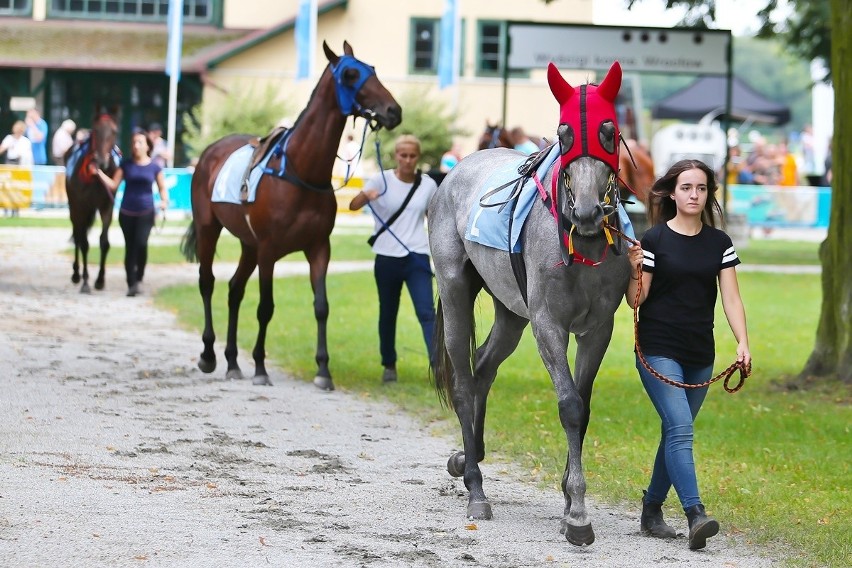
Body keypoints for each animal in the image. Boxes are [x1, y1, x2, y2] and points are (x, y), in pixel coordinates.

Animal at [65, 113, 119, 296]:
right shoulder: (81, 207)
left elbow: (104, 242)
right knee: (78, 234)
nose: (102, 162)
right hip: (74, 208)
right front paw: (86, 282)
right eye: (96, 130)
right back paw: (76, 274)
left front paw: (100, 280)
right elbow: (84, 243)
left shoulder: (106, 206)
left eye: (114, 131)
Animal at [181, 41, 402, 390]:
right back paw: (209, 355)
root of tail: (209, 153)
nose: (393, 111)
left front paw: (323, 370)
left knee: (234, 290)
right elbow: (265, 308)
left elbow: (322, 307)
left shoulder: (318, 248)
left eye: (373, 69)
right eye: (351, 75)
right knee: (207, 282)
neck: (301, 171)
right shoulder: (269, 250)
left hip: (248, 245)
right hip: (209, 228)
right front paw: (260, 366)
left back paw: (232, 361)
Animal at [430, 61, 628, 544]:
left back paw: (469, 457)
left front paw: (569, 497)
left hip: (510, 311)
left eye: (609, 132)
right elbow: (569, 405)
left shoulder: (599, 328)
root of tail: (455, 172)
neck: (582, 243)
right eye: (564, 134)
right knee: (464, 382)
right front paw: (577, 513)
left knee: (483, 367)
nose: (589, 212)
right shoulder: (547, 323)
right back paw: (475, 489)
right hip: (456, 291)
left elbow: (584, 406)